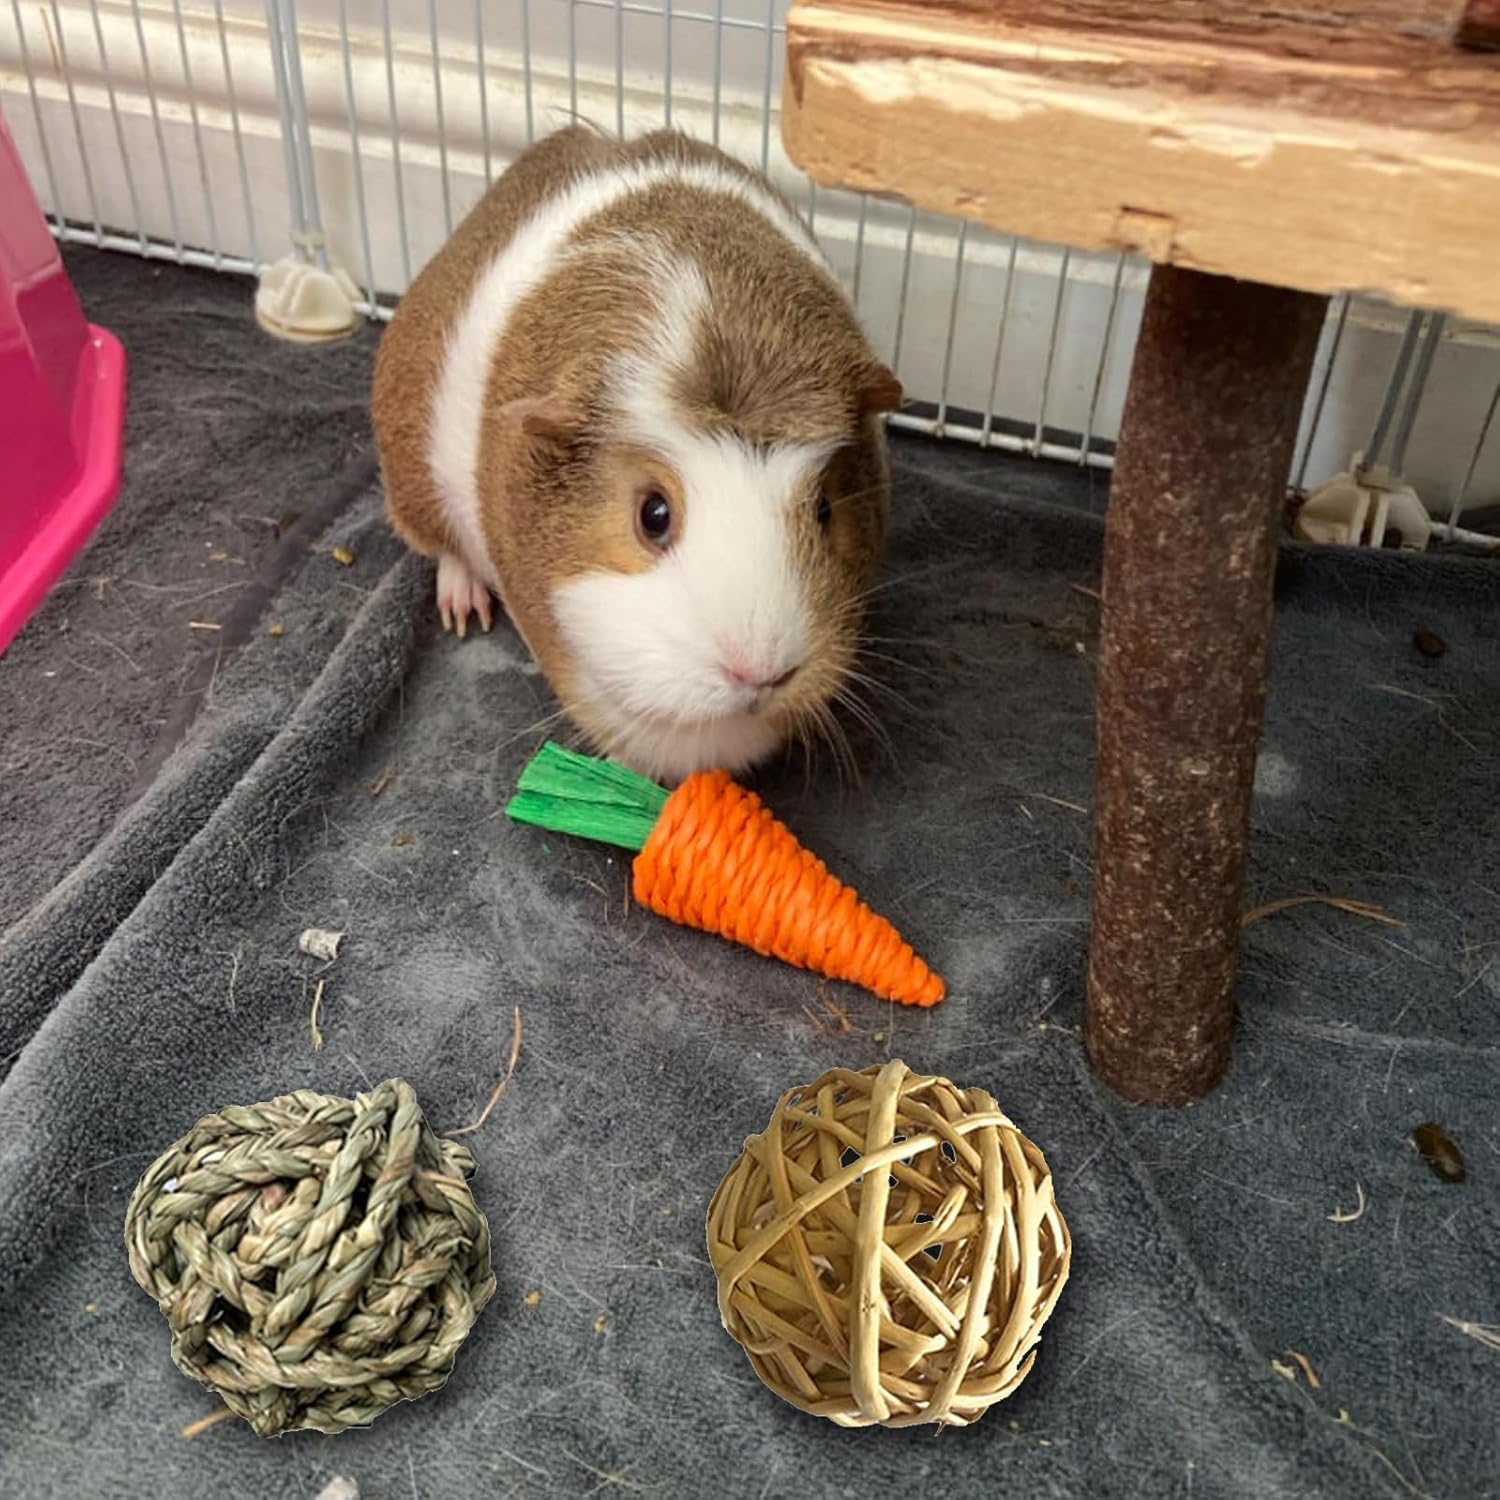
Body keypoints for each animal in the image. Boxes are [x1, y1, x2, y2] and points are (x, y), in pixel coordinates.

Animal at [372, 125, 901, 783]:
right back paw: (463, 612)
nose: (761, 673)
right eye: (653, 514)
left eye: (825, 509)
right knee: (444, 552)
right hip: (412, 480)